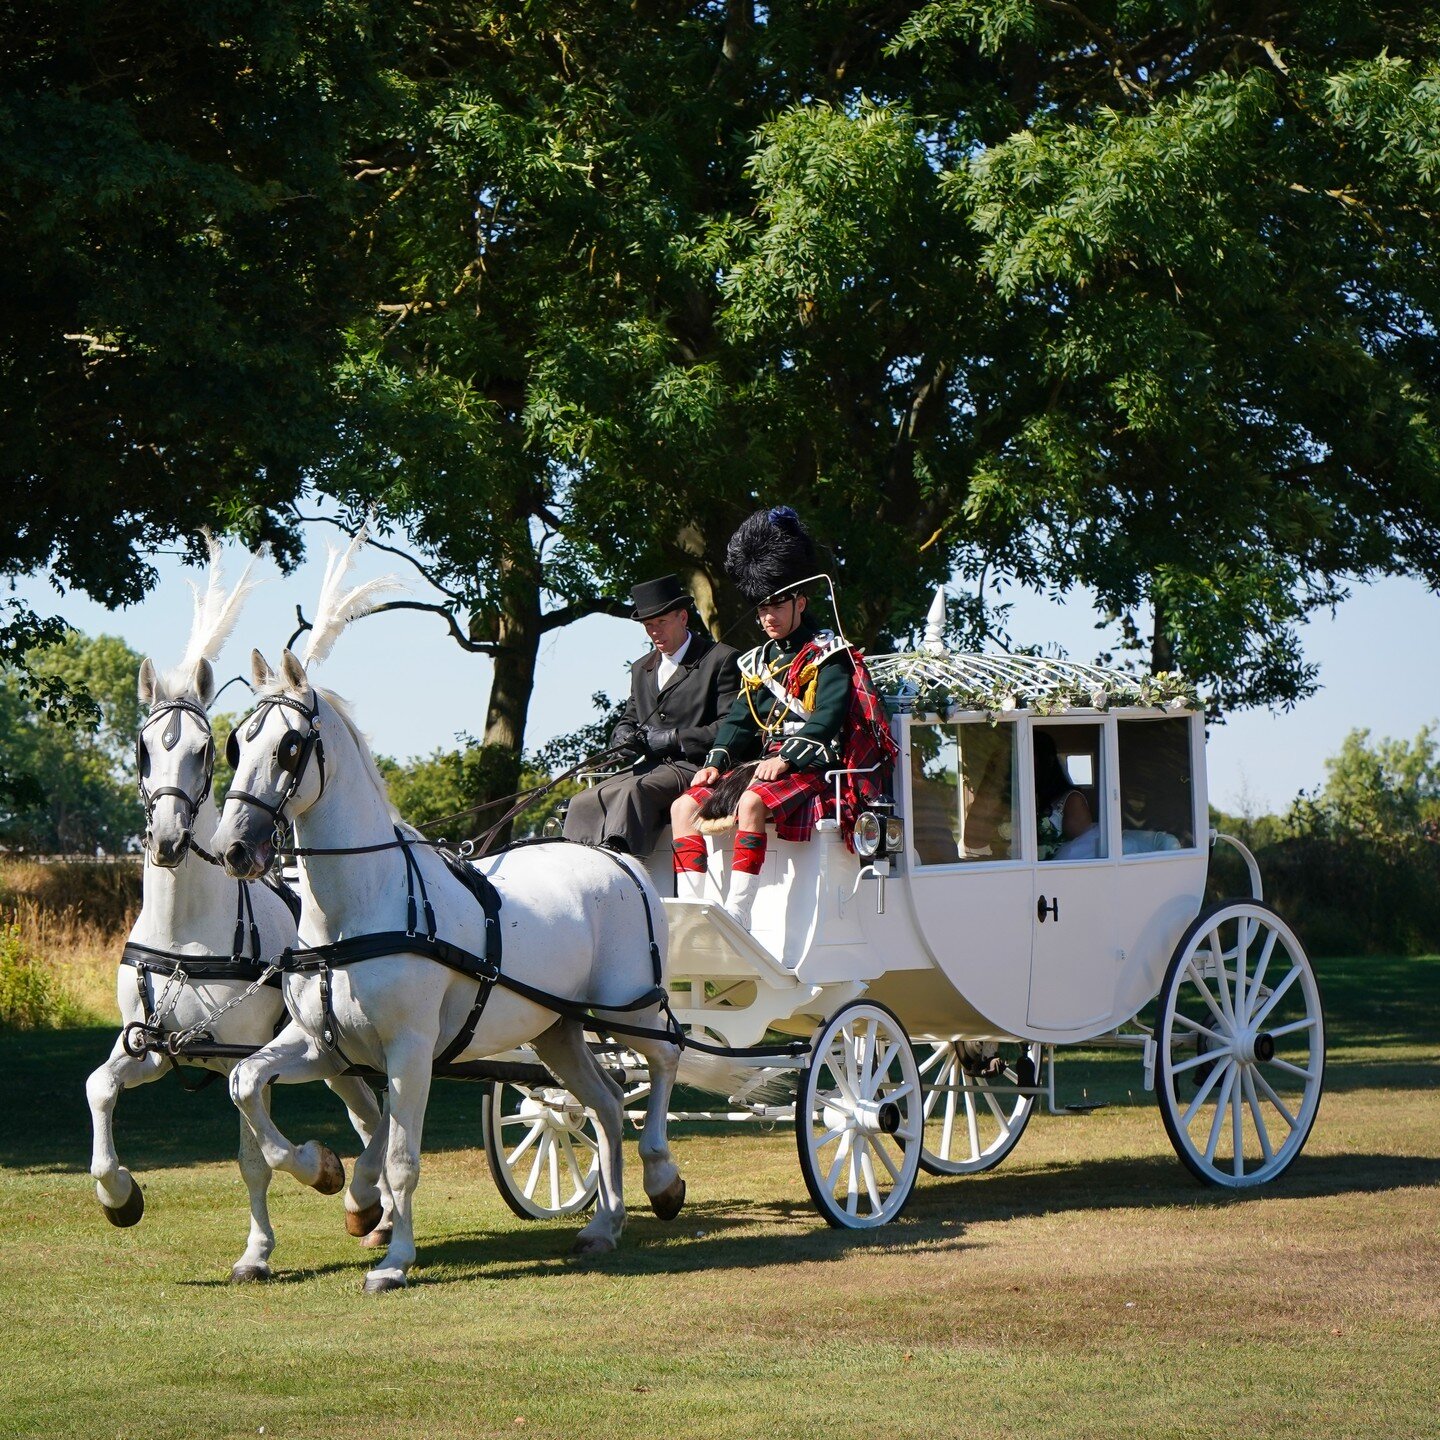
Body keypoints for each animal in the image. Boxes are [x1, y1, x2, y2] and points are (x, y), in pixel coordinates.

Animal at [87, 552, 397, 1284]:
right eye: (144, 749)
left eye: (204, 749)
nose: (169, 838)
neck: (185, 934)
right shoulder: (153, 1049)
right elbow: (99, 1088)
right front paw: (119, 1194)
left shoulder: (251, 1050)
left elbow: (257, 1157)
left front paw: (269, 1236)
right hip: (334, 1053)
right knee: (371, 1114)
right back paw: (374, 1212)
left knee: (377, 1115)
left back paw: (365, 1198)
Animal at [211, 645, 685, 1296]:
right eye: (236, 744)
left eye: (289, 746)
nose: (233, 848)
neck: (360, 908)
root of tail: (617, 858)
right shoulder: (323, 1044)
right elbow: (246, 1082)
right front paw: (328, 1174)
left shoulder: (410, 1048)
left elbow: (401, 1156)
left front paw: (393, 1261)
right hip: (557, 1030)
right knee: (609, 1105)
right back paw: (603, 1225)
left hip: (630, 1009)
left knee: (664, 1061)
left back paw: (662, 1178)